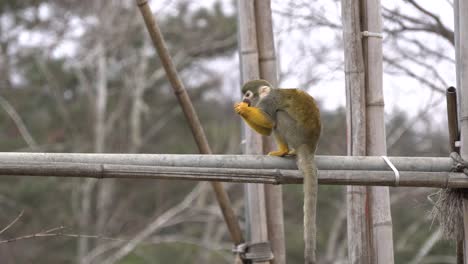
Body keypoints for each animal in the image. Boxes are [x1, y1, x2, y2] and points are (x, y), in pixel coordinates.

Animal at [234, 79, 322, 264]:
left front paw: (244, 109)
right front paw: (242, 109)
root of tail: (309, 147)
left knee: (278, 117)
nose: (245, 100)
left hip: (295, 134)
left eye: (248, 95)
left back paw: (283, 150)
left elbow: (269, 122)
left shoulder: (268, 102)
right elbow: (267, 129)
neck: (266, 95)